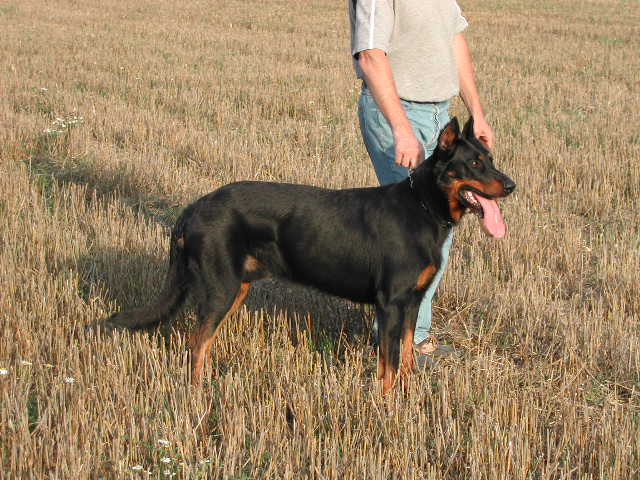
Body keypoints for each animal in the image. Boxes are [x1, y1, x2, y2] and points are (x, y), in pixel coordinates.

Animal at [103, 117, 515, 394]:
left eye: (491, 158)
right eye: (474, 164)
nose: (512, 185)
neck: (424, 207)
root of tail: (193, 208)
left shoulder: (412, 303)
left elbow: (407, 356)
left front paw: (407, 395)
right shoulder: (390, 303)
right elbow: (389, 362)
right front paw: (386, 407)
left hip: (236, 287)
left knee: (205, 339)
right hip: (221, 287)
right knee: (195, 342)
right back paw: (197, 393)